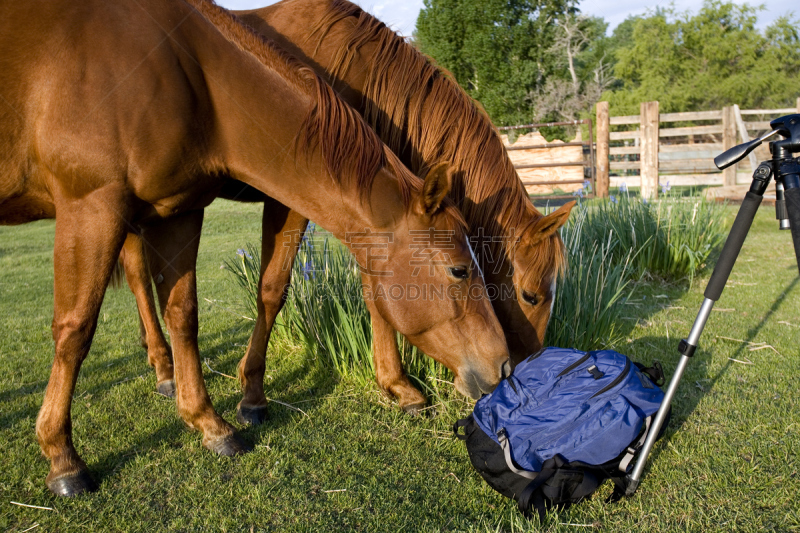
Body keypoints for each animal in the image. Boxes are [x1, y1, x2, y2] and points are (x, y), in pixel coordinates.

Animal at [0, 0, 510, 494]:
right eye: (460, 269)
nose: (503, 366)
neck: (189, 76)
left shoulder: (178, 211)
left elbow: (185, 313)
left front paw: (210, 422)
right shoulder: (92, 204)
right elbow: (76, 329)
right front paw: (62, 456)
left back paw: (164, 369)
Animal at [122, 0, 572, 420]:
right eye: (531, 295)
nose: (524, 366)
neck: (353, 71)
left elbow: (376, 292)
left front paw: (396, 385)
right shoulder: (293, 200)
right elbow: (273, 290)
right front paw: (252, 391)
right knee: (138, 279)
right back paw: (164, 368)